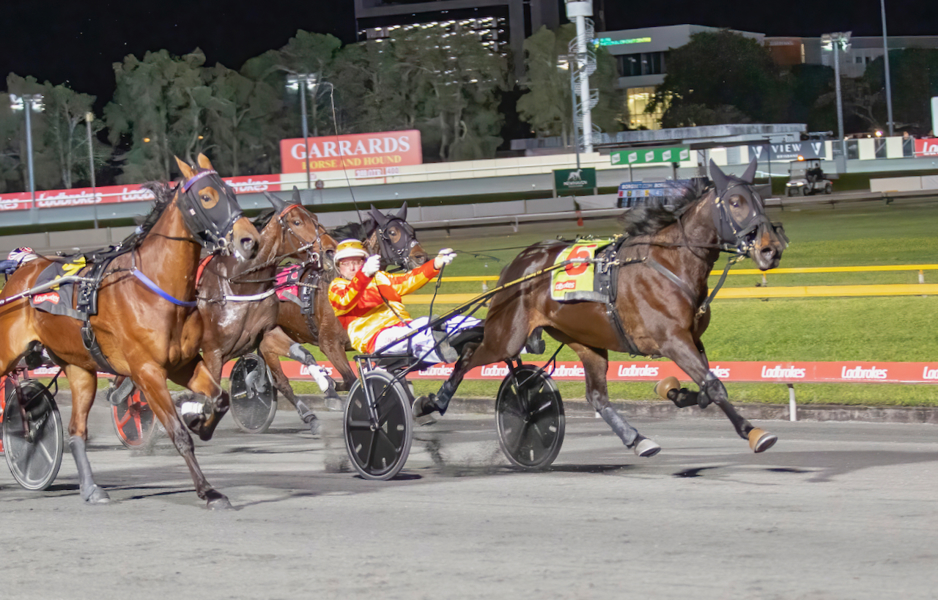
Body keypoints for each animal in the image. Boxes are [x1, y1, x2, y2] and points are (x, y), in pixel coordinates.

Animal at [0, 154, 260, 509]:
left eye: (232, 192)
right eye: (207, 197)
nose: (250, 240)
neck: (154, 287)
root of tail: (20, 275)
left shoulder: (183, 365)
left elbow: (220, 399)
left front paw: (200, 422)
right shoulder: (148, 371)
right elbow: (178, 434)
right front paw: (209, 491)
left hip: (80, 368)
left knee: (76, 431)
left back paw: (91, 488)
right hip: (6, 354)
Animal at [195, 188, 337, 433]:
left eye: (316, 218)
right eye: (297, 222)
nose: (330, 250)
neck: (239, 283)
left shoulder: (266, 333)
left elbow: (302, 357)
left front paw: (326, 390)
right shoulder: (213, 352)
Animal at [271, 203, 429, 393]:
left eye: (412, 230)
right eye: (392, 232)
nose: (421, 257)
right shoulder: (330, 344)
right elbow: (350, 380)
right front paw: (329, 383)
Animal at [415, 160, 788, 457]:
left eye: (762, 199)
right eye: (736, 202)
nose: (771, 248)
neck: (671, 262)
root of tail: (519, 262)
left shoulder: (692, 339)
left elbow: (706, 389)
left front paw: (674, 391)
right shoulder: (672, 339)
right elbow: (715, 387)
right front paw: (754, 432)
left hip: (585, 339)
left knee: (596, 396)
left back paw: (636, 438)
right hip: (507, 336)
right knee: (469, 356)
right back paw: (432, 402)